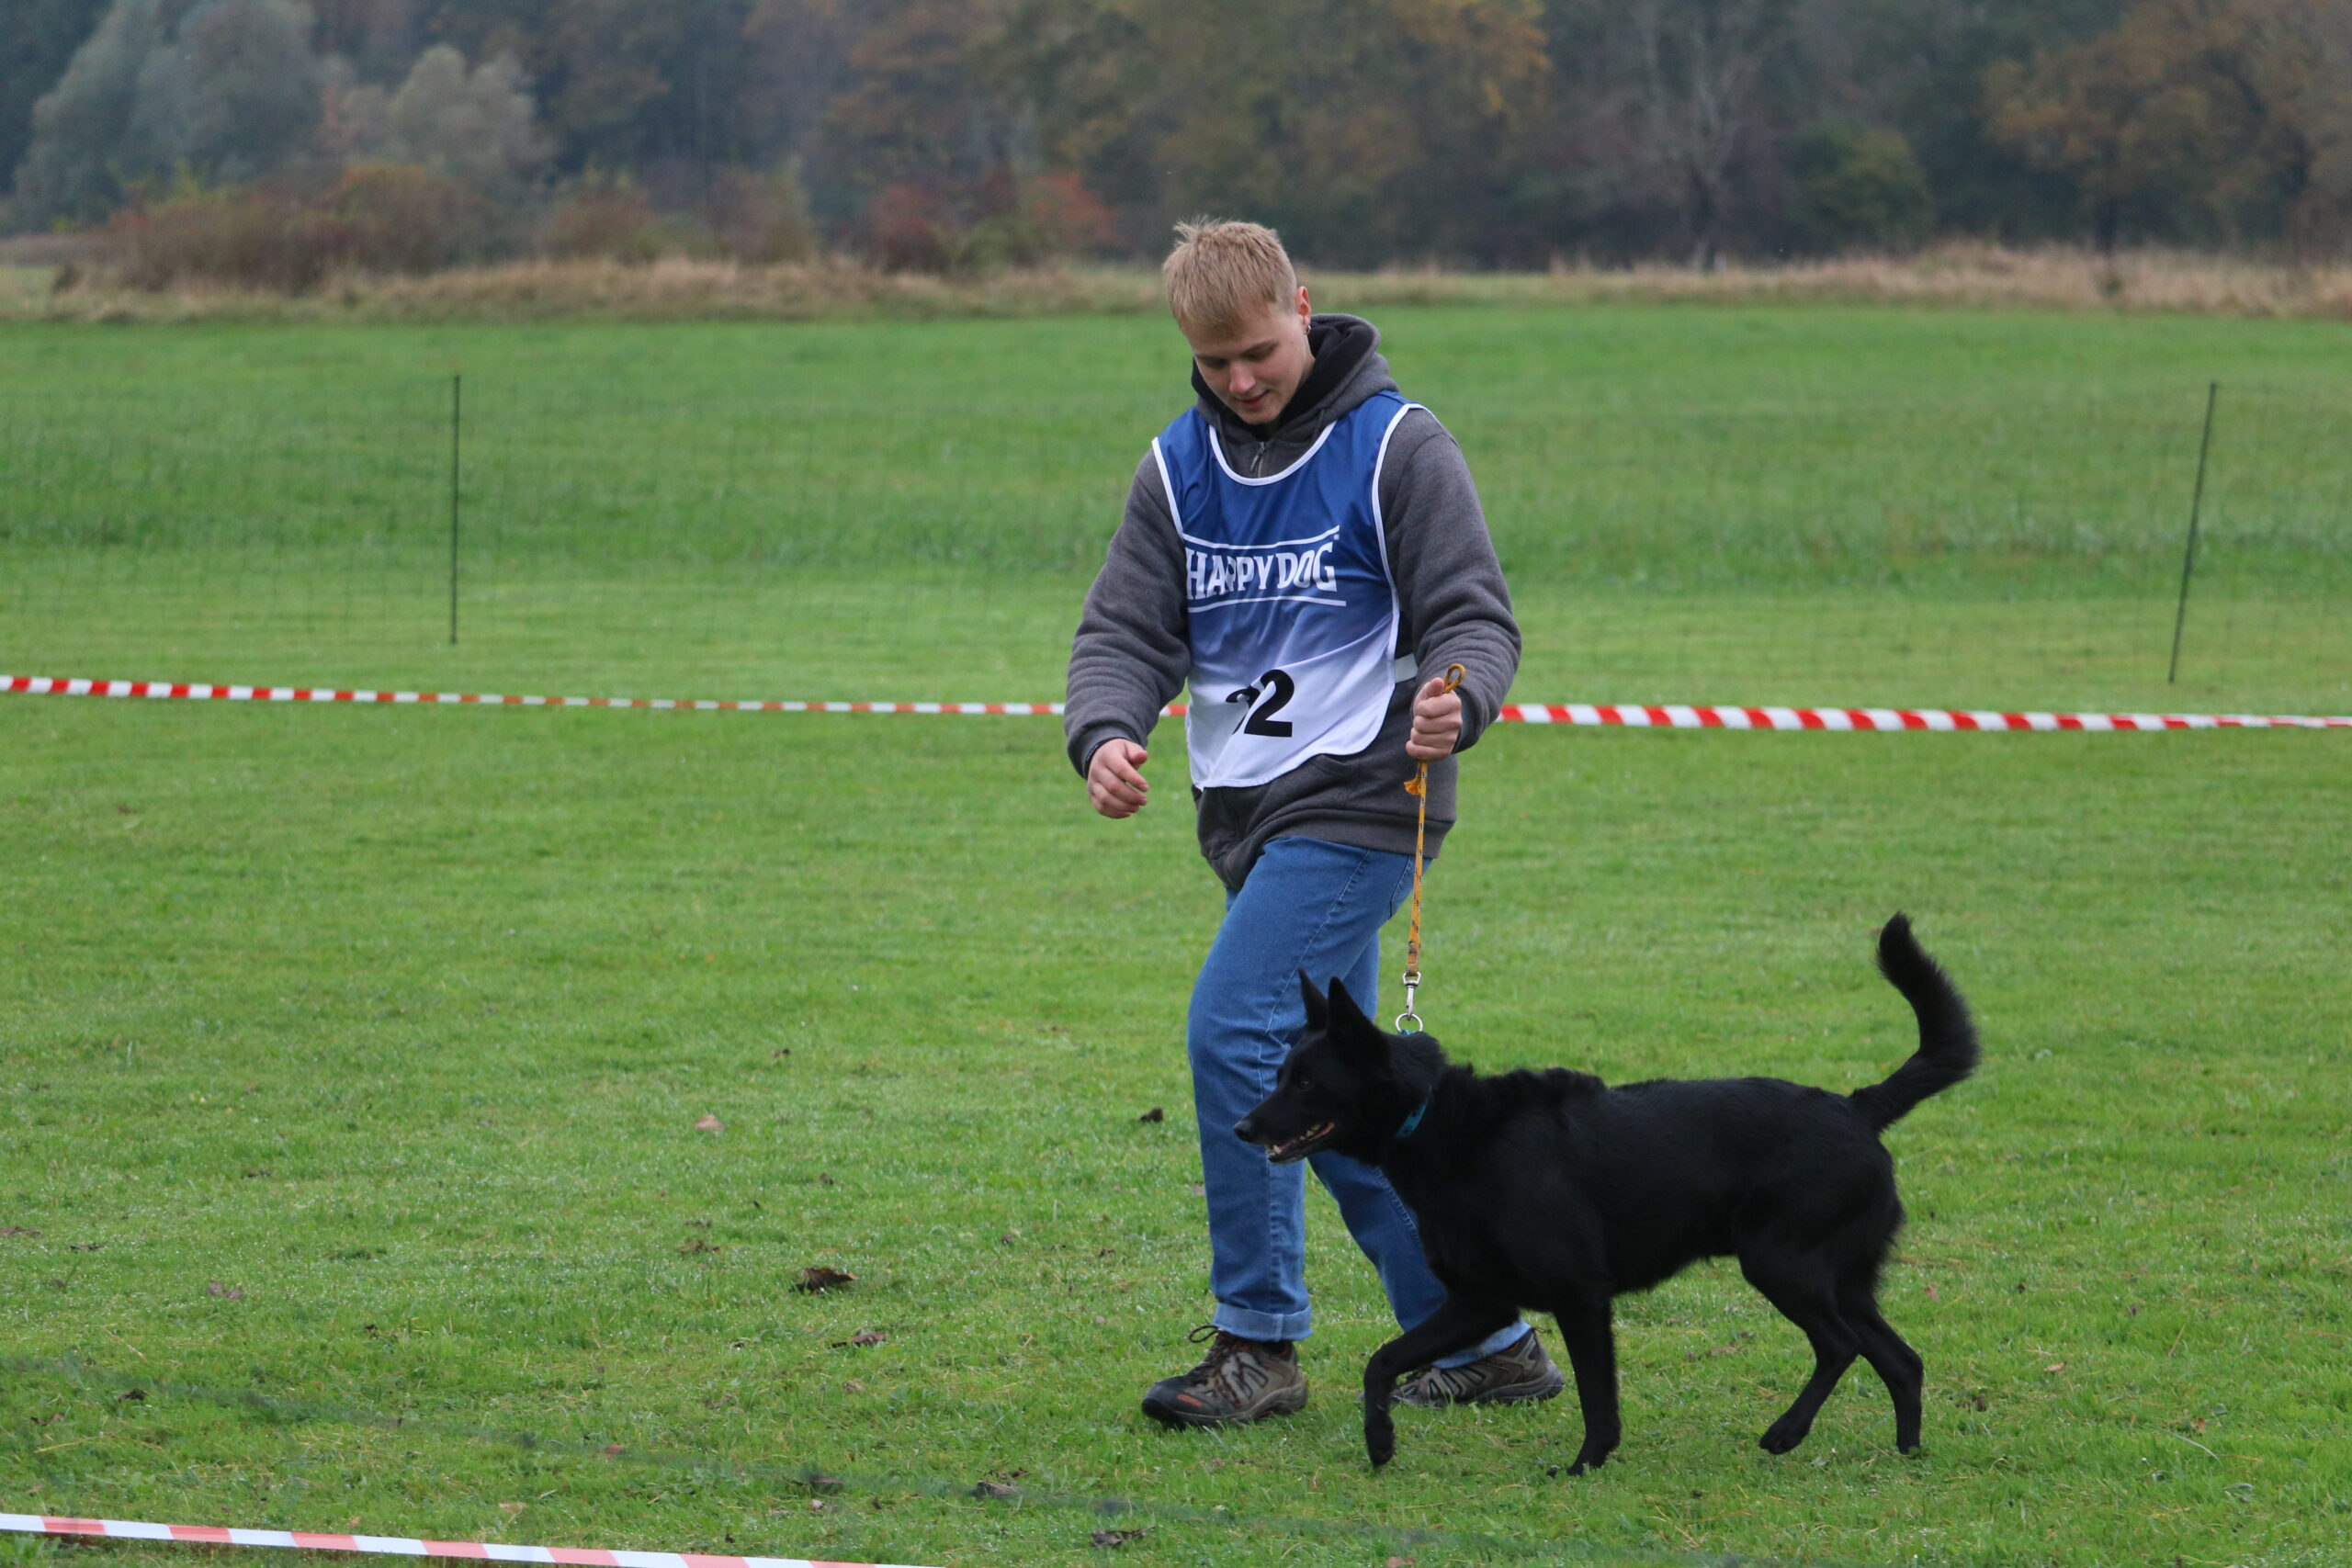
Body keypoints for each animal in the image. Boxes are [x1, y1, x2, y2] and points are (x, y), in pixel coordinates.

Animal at [1241, 911, 1975, 1476]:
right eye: (1281, 1074)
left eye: (1305, 1082)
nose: (1242, 1126)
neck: (1441, 1123)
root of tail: (1858, 1107)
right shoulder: (1479, 1301)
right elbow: (1381, 1361)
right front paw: (1380, 1442)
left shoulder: (1580, 1295)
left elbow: (1598, 1397)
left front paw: (1585, 1464)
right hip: (1842, 1279)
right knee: (1901, 1360)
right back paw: (1908, 1453)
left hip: (1781, 1264)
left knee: (1840, 1347)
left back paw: (1786, 1433)